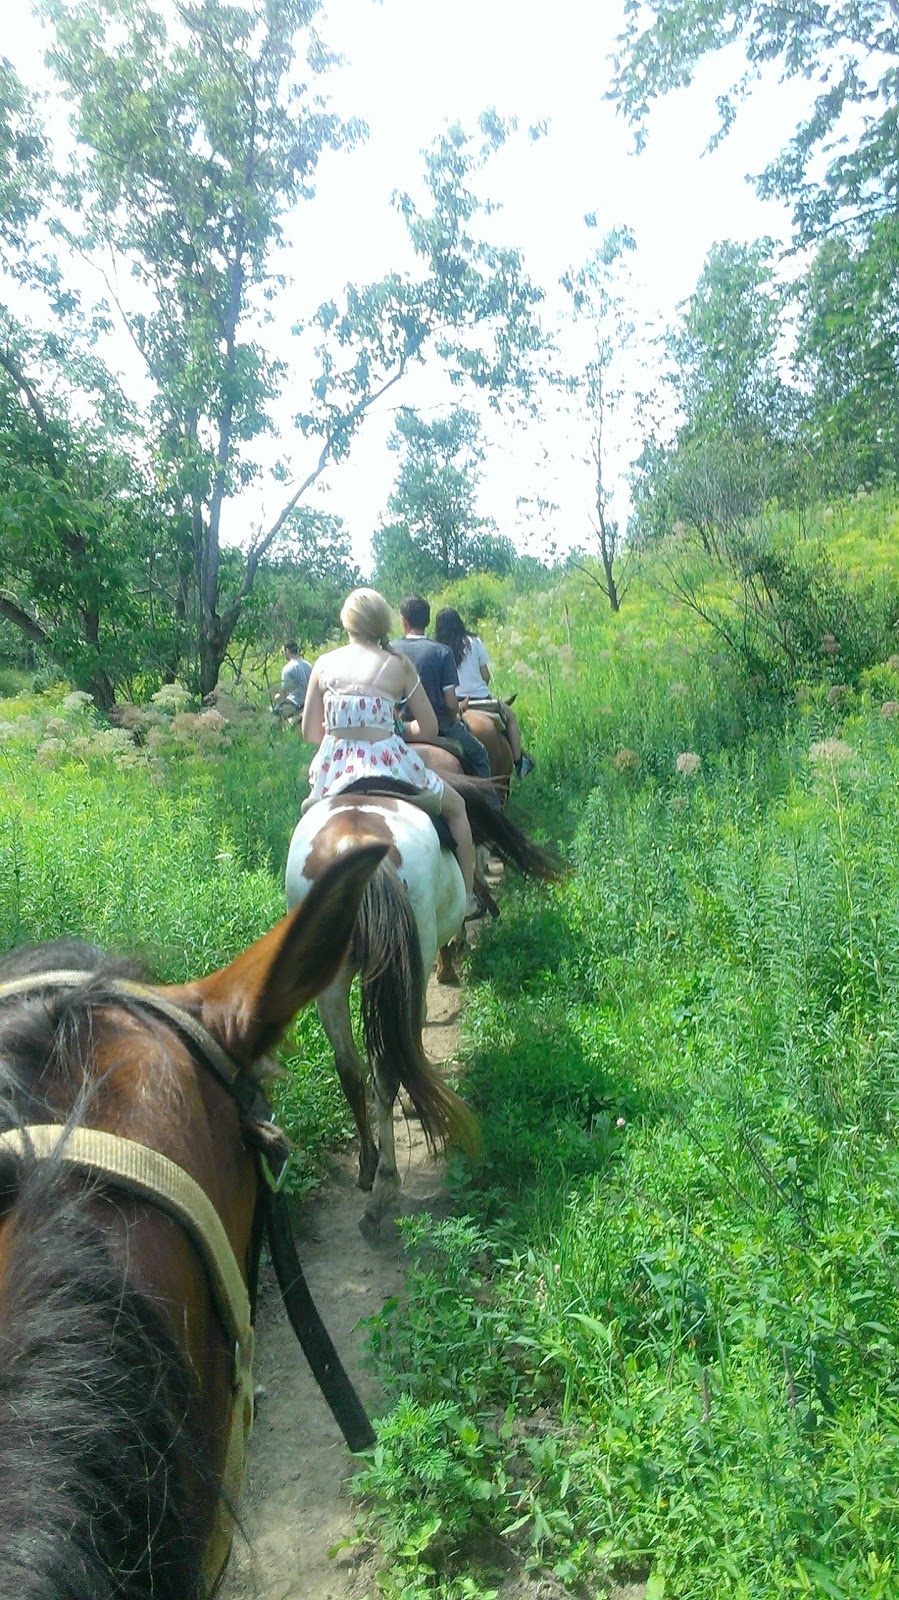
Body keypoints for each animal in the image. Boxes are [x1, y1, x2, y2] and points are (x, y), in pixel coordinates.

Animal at [283, 774, 556, 1235]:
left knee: (350, 1067)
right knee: (387, 1067)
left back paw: (369, 1165)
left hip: (330, 977)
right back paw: (384, 1190)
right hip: (412, 954)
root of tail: (354, 845)